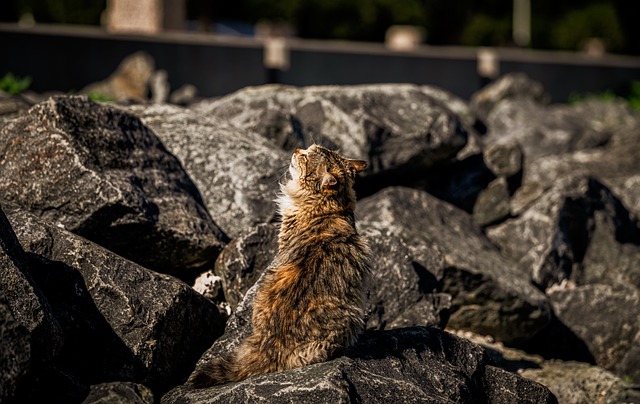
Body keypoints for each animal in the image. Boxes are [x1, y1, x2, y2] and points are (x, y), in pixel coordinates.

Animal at [189, 145, 370, 388]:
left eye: (306, 156)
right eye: (309, 149)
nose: (297, 149)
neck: (329, 208)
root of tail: (267, 346)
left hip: (351, 317)